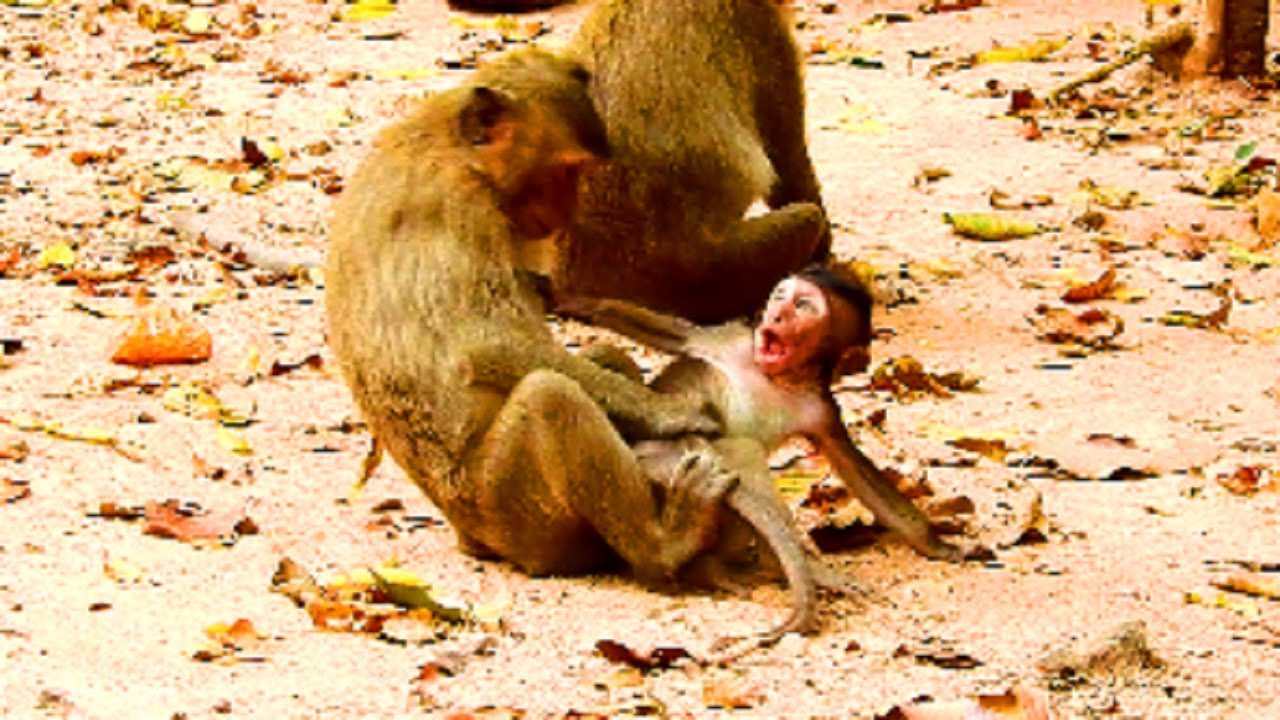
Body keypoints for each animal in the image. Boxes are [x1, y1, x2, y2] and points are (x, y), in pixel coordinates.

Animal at [326, 46, 743, 588]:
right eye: (566, 171)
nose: (568, 211)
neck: (448, 143)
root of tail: (475, 535)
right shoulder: (459, 205)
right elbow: (486, 342)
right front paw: (669, 413)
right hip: (508, 506)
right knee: (551, 397)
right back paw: (664, 547)